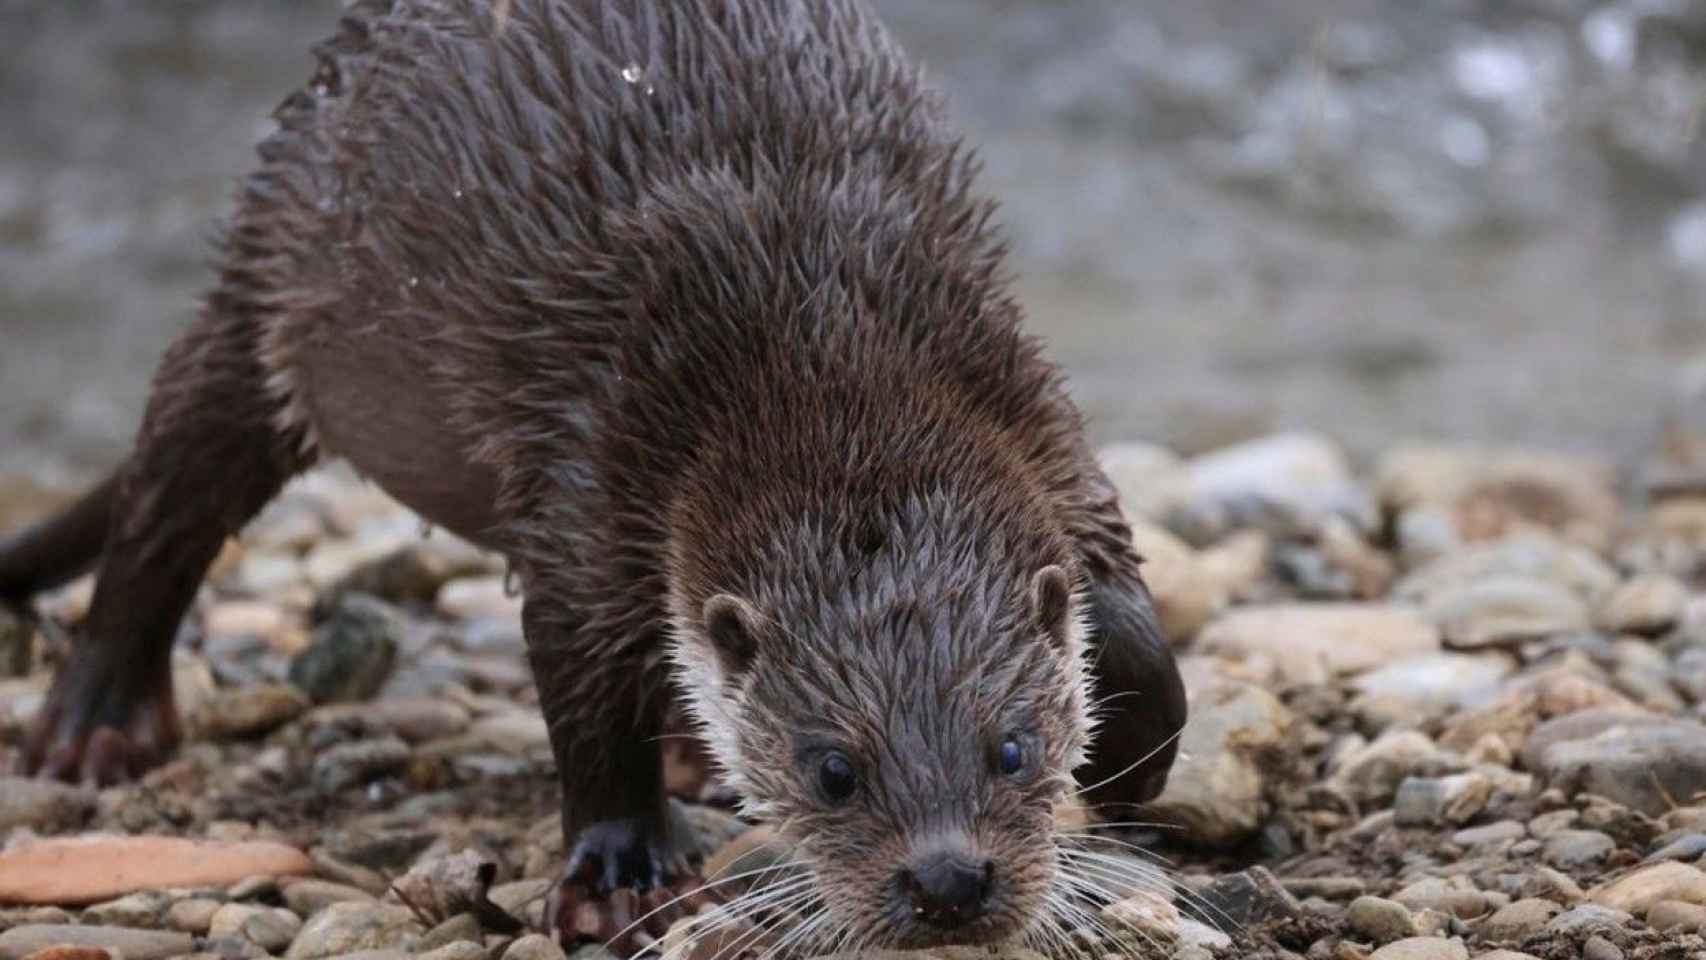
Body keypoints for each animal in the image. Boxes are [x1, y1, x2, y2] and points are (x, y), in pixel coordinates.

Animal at [3, 1, 1187, 954]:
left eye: (1011, 747)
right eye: (831, 770)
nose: (949, 882)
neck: (824, 336)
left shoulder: (1024, 397)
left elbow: (1128, 619)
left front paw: (1128, 781)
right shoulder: (597, 465)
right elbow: (579, 673)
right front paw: (622, 871)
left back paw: (695, 759)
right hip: (270, 295)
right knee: (172, 485)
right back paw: (96, 725)